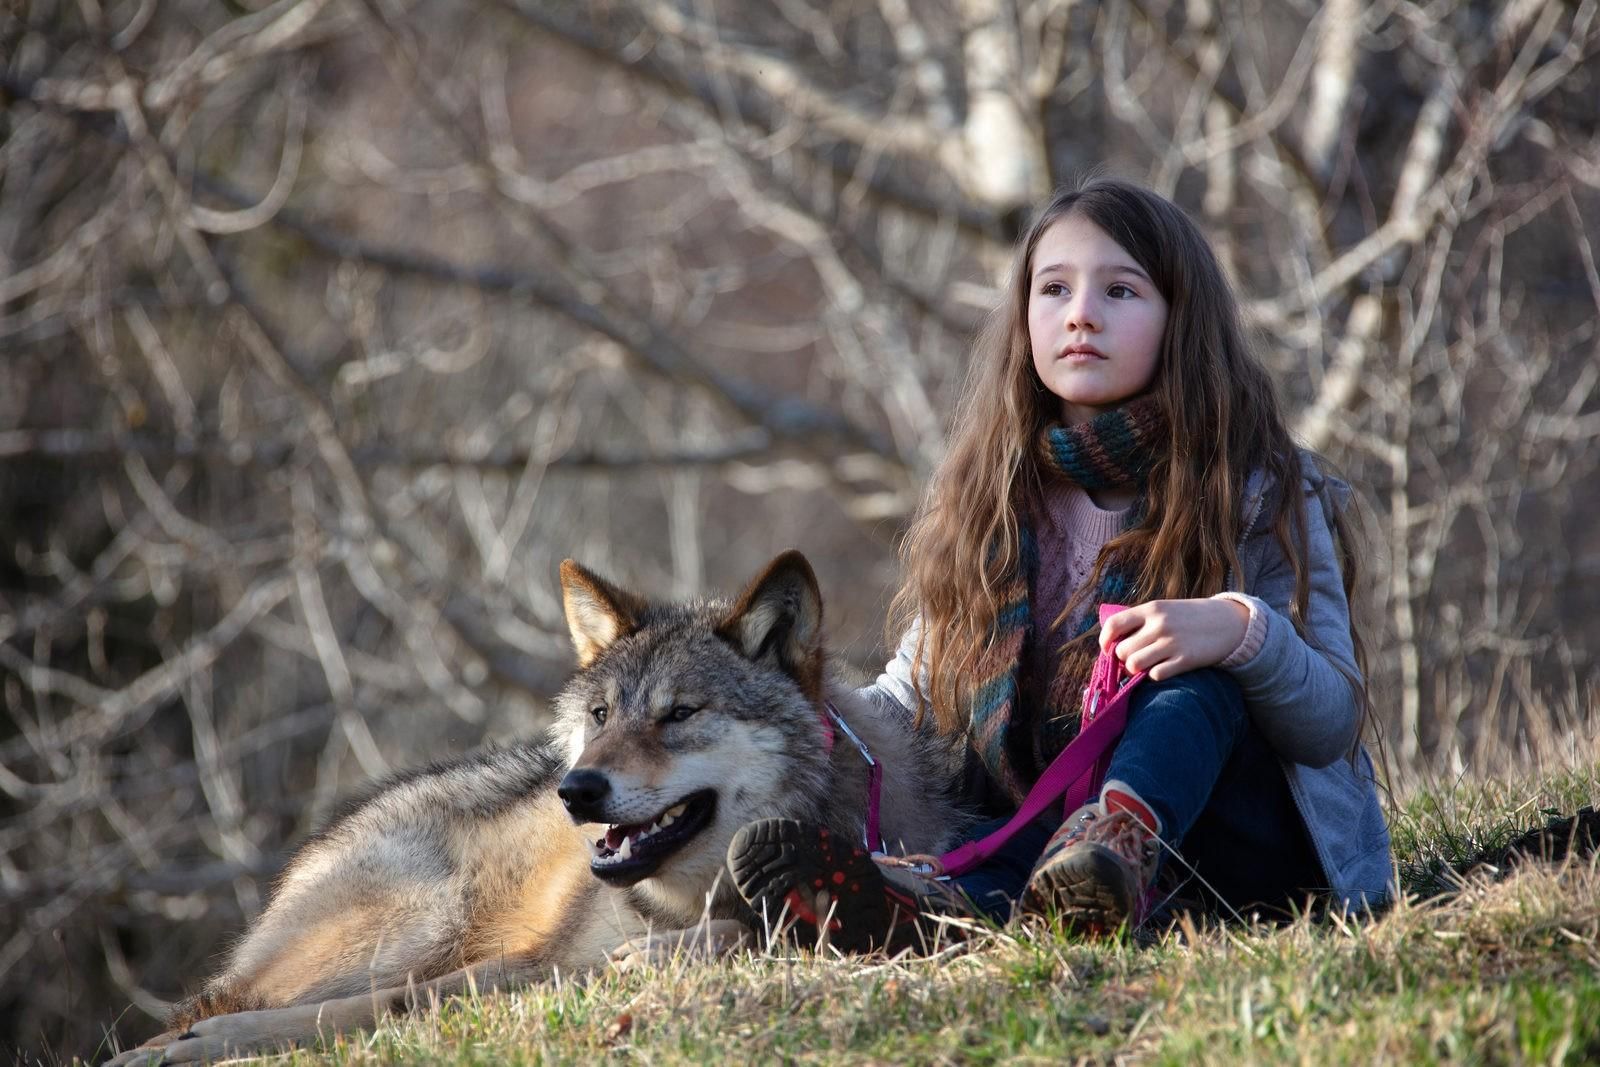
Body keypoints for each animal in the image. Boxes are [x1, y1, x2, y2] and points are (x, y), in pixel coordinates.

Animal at [109, 556, 960, 1062]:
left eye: (679, 713)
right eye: (600, 714)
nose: (576, 789)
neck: (683, 899)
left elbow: (750, 930)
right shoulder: (528, 961)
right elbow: (393, 1004)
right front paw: (203, 1045)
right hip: (421, 921)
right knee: (240, 999)